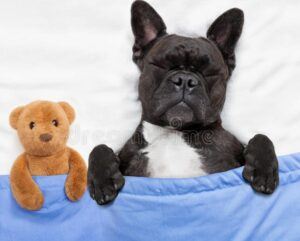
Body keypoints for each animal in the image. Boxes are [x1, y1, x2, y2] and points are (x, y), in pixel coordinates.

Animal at [87, 0, 278, 205]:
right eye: (160, 65)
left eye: (209, 72)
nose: (186, 80)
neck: (175, 132)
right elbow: (100, 147)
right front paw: (103, 180)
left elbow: (260, 136)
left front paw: (263, 171)